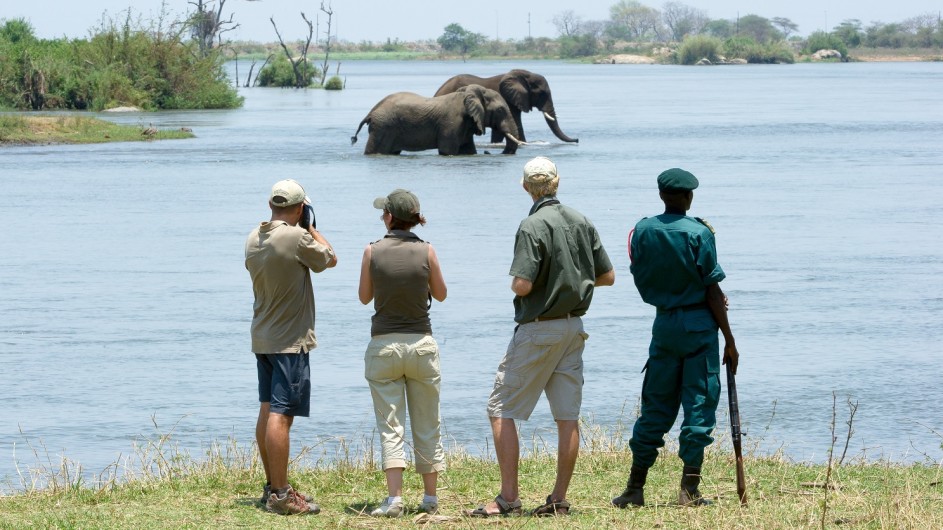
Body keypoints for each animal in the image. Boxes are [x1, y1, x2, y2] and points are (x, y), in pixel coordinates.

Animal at [350, 83, 524, 155]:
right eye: (501, 110)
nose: (488, 151)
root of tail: (371, 112)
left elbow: (468, 150)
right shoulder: (452, 123)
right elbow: (448, 151)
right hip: (383, 127)